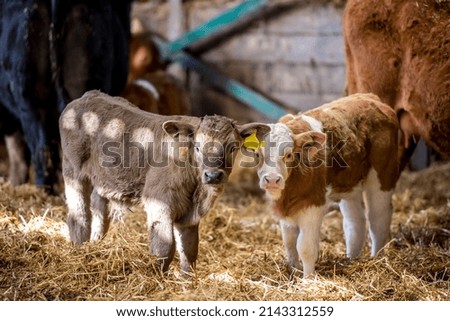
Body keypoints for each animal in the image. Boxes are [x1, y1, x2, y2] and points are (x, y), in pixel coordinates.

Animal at [58, 90, 268, 272]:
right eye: (197, 146)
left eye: (233, 147)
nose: (213, 175)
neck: (197, 191)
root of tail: (89, 96)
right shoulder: (159, 202)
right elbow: (164, 248)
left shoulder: (189, 216)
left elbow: (189, 251)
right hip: (73, 172)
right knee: (79, 216)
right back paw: (78, 251)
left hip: (102, 180)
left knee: (100, 214)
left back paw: (94, 246)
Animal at [255, 92, 400, 276]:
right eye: (257, 154)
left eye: (288, 155)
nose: (272, 180)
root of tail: (370, 97)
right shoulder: (286, 210)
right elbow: (289, 241)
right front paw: (293, 270)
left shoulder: (313, 205)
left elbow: (306, 248)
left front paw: (308, 279)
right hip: (349, 183)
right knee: (354, 221)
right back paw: (351, 259)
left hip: (382, 176)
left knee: (378, 218)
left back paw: (377, 259)